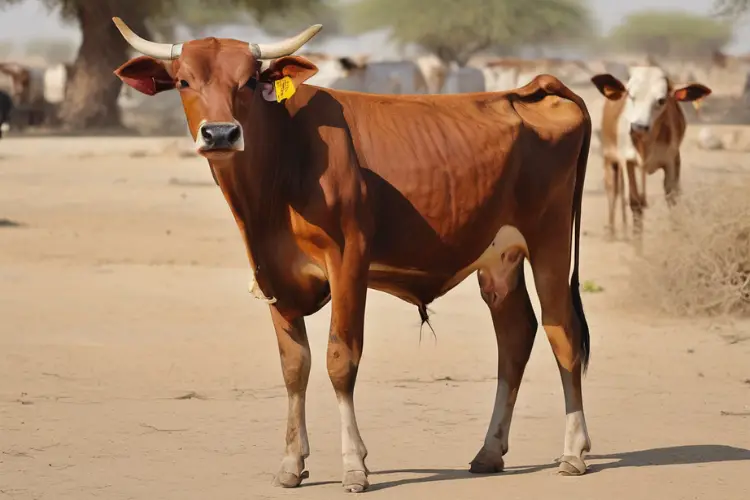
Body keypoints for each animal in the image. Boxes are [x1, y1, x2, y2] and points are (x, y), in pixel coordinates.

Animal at [114, 16, 600, 492]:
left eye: (250, 80)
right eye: (183, 81)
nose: (220, 133)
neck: (285, 161)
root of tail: (533, 87)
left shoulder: (348, 261)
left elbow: (339, 361)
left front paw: (354, 466)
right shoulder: (273, 275)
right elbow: (294, 367)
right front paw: (291, 462)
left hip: (550, 242)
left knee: (563, 333)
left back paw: (574, 451)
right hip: (499, 259)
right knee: (515, 337)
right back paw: (489, 451)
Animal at [592, 67, 712, 239]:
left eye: (661, 100)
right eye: (631, 95)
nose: (638, 127)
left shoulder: (672, 160)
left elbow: (672, 197)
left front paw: (676, 232)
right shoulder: (627, 162)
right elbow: (635, 201)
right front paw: (637, 242)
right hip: (610, 160)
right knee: (612, 192)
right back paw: (611, 232)